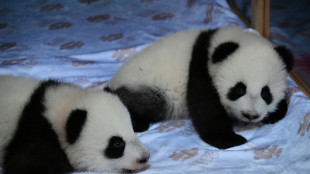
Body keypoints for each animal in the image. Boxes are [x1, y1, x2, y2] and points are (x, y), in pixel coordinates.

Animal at [105, 25, 294, 150]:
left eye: (266, 92)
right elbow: (205, 107)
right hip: (150, 87)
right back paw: (137, 122)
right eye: (239, 89)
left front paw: (276, 113)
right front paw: (230, 139)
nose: (251, 115)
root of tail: (113, 83)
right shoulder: (200, 68)